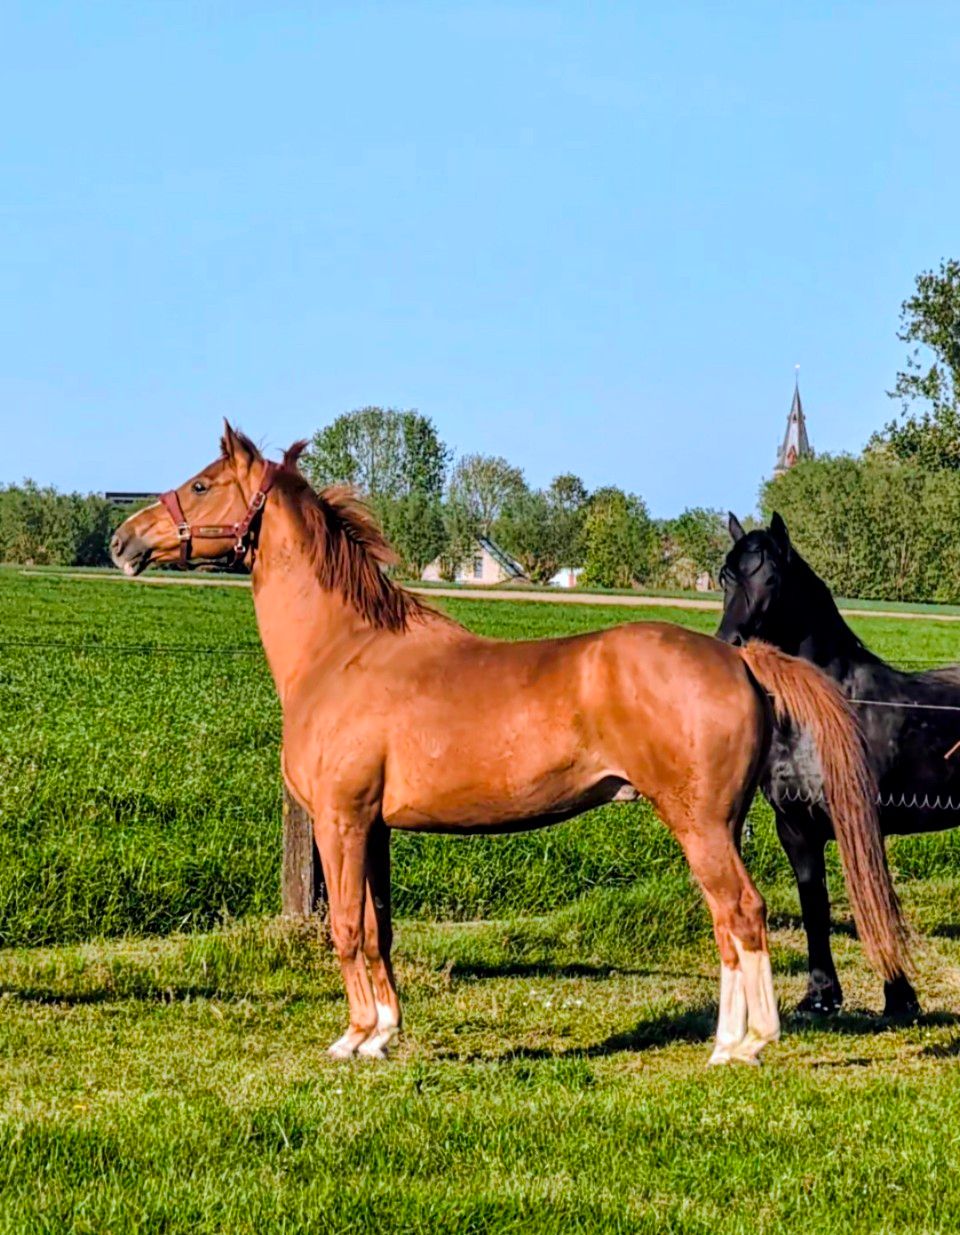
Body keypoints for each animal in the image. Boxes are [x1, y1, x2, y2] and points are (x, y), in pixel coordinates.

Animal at [109, 426, 910, 1064]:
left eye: (202, 484)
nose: (123, 540)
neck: (344, 650)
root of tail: (739, 659)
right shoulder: (372, 828)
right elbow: (380, 927)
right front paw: (384, 1031)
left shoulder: (340, 820)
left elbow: (344, 926)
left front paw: (353, 1037)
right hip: (719, 824)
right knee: (726, 922)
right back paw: (725, 1038)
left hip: (700, 824)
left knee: (741, 912)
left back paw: (744, 1046)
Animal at [718, 511, 960, 1016]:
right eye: (725, 575)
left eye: (773, 577)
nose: (731, 644)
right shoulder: (796, 829)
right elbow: (816, 907)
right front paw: (821, 997)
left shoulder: (861, 821)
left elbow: (873, 900)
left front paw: (899, 998)